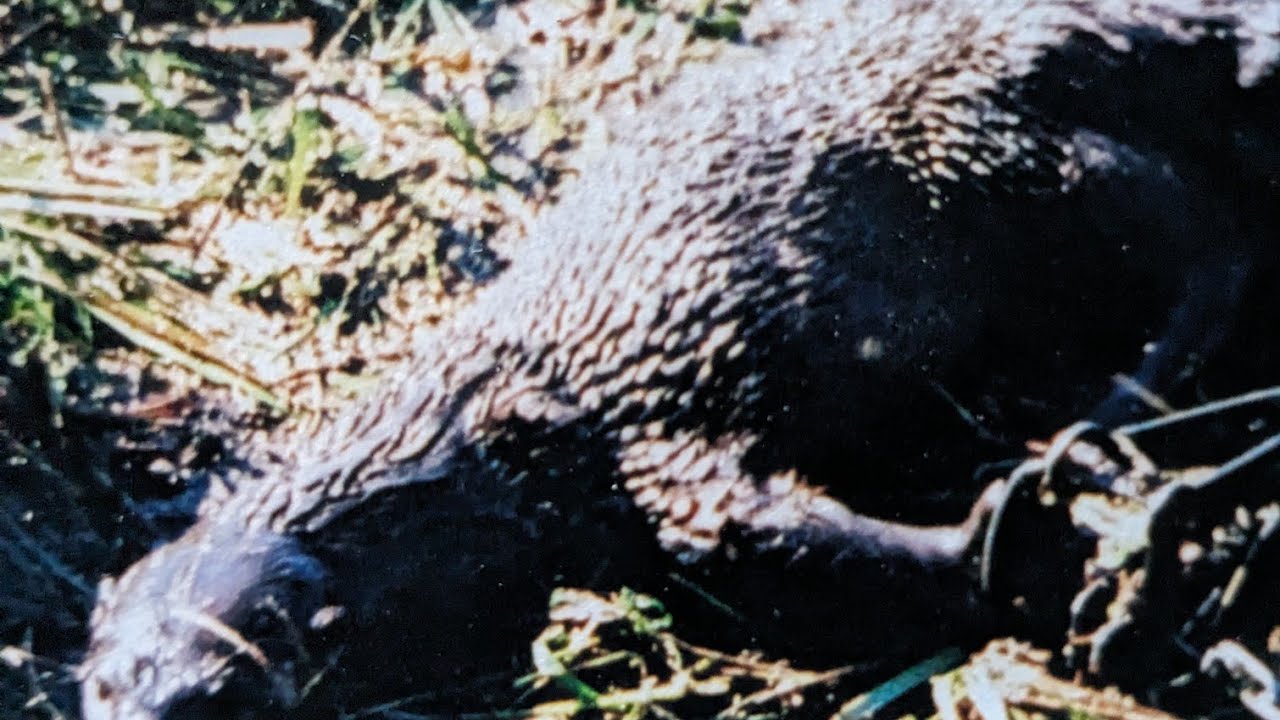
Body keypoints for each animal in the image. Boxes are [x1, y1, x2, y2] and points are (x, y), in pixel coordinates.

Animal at [80, 1, 1279, 718]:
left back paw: (1118, 399)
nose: (144, 704)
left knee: (1207, 237)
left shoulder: (642, 443)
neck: (470, 441)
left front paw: (1002, 537)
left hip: (1002, 146)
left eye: (213, 699)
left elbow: (745, 534)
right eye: (104, 685)